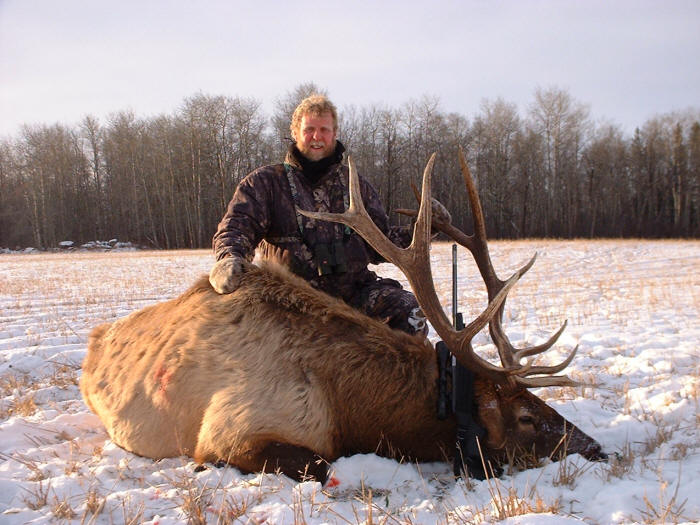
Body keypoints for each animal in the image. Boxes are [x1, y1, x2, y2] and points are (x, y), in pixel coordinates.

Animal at [80, 149, 606, 483]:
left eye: (539, 403)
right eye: (525, 417)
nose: (597, 449)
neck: (347, 407)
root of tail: (96, 337)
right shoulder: (230, 431)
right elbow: (321, 468)